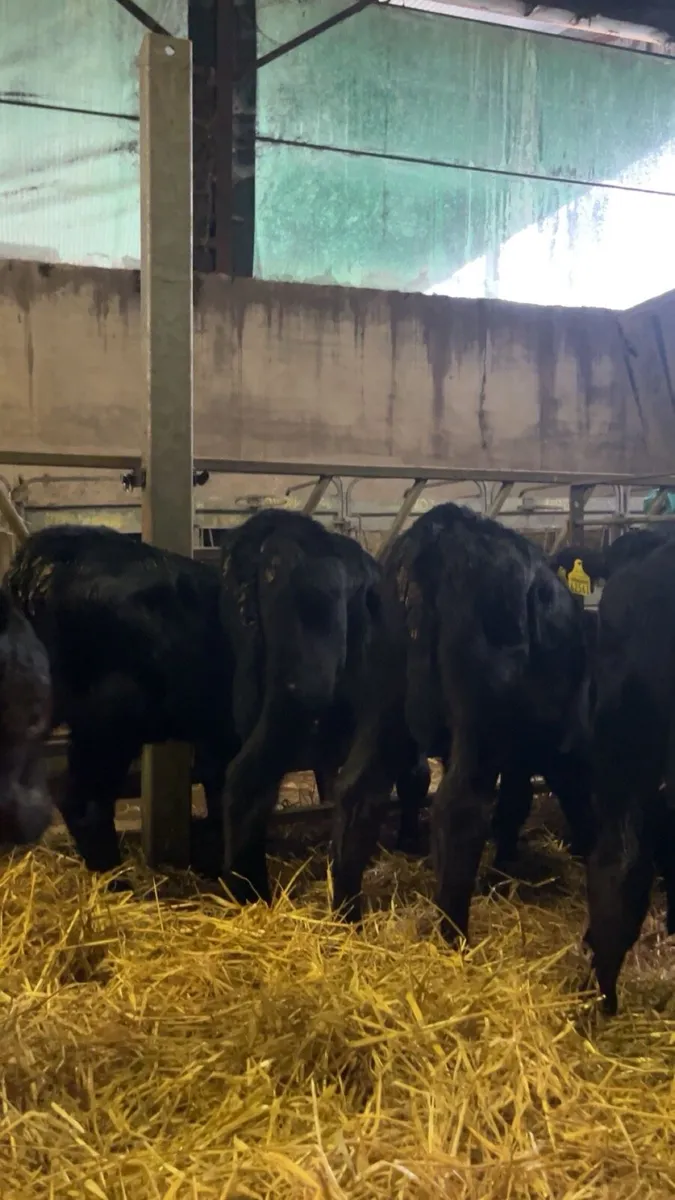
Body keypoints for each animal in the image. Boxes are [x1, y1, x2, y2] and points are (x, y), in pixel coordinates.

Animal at [329, 503, 594, 942]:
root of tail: (438, 529)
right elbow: (513, 804)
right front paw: (503, 867)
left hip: (382, 706)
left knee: (357, 792)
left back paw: (346, 917)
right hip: (479, 726)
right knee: (460, 811)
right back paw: (454, 937)